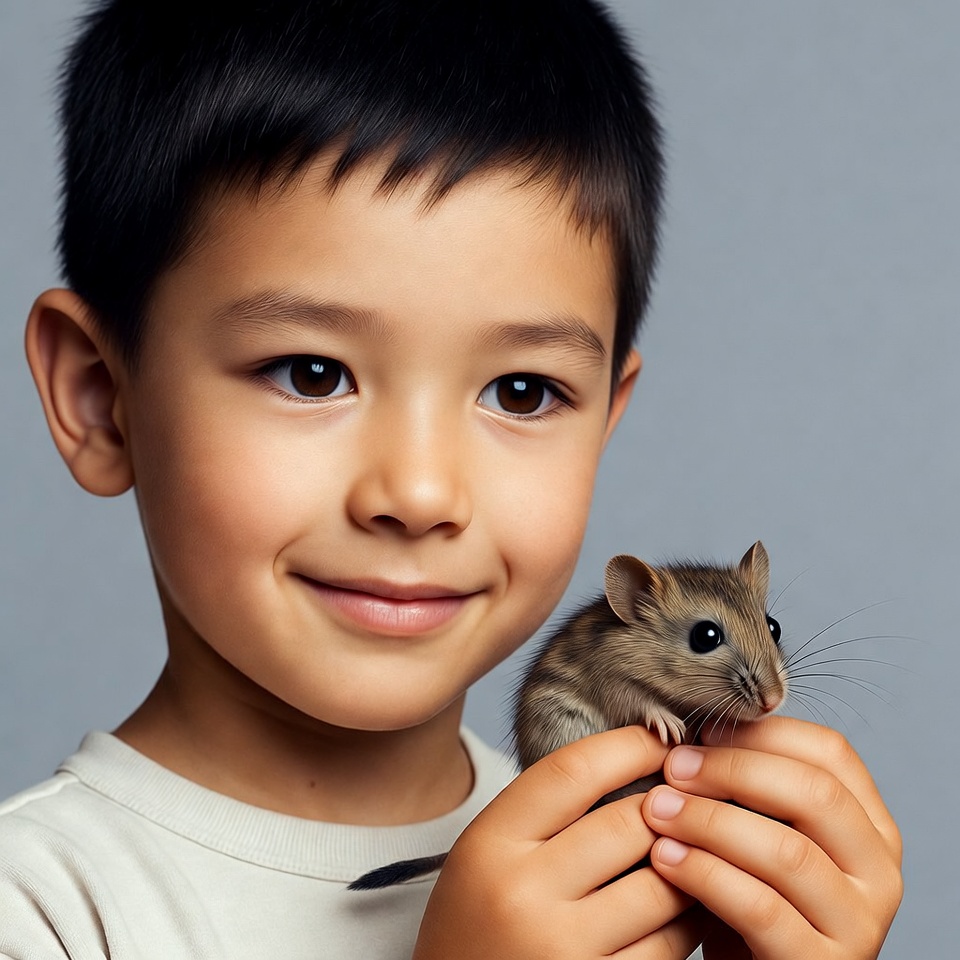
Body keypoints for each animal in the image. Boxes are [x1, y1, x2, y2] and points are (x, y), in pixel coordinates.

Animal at [348, 541, 788, 890]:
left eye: (773, 626)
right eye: (705, 636)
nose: (773, 701)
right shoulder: (611, 676)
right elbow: (638, 701)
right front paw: (669, 722)